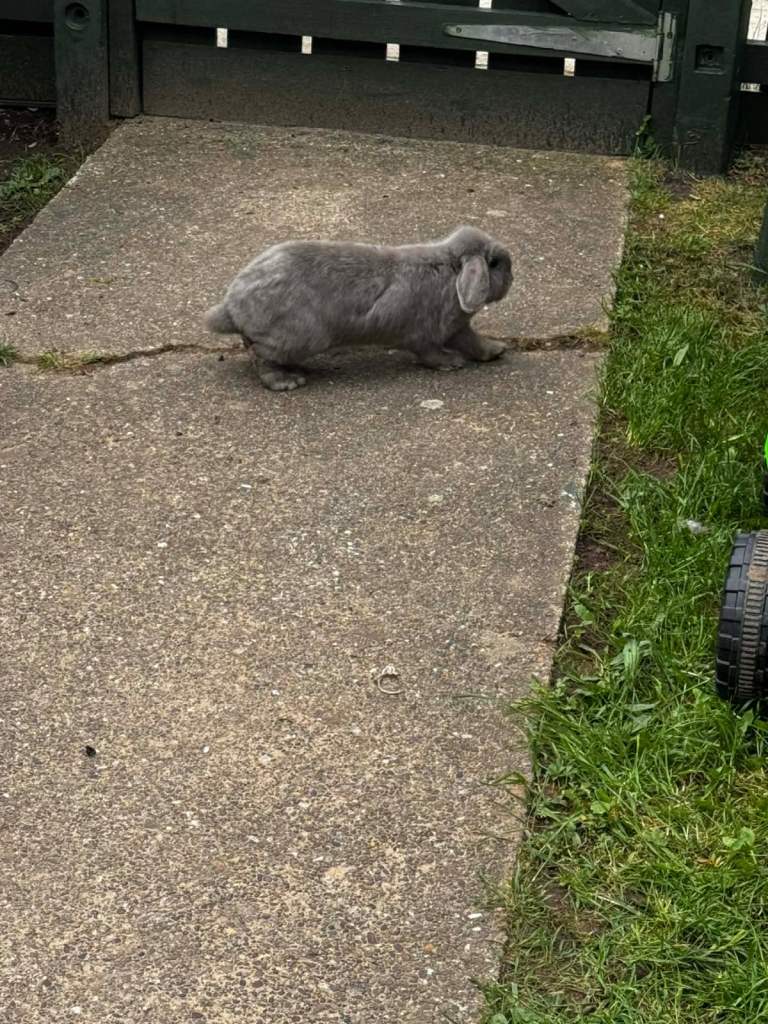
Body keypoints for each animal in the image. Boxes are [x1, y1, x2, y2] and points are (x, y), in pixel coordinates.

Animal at [204, 225, 513, 391]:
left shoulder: (458, 329)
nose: (512, 278)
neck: (451, 270)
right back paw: (287, 381)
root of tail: (232, 306)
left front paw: (496, 350)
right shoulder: (425, 335)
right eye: (495, 263)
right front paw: (451, 363)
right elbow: (429, 352)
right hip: (301, 337)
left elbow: (473, 341)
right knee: (260, 354)